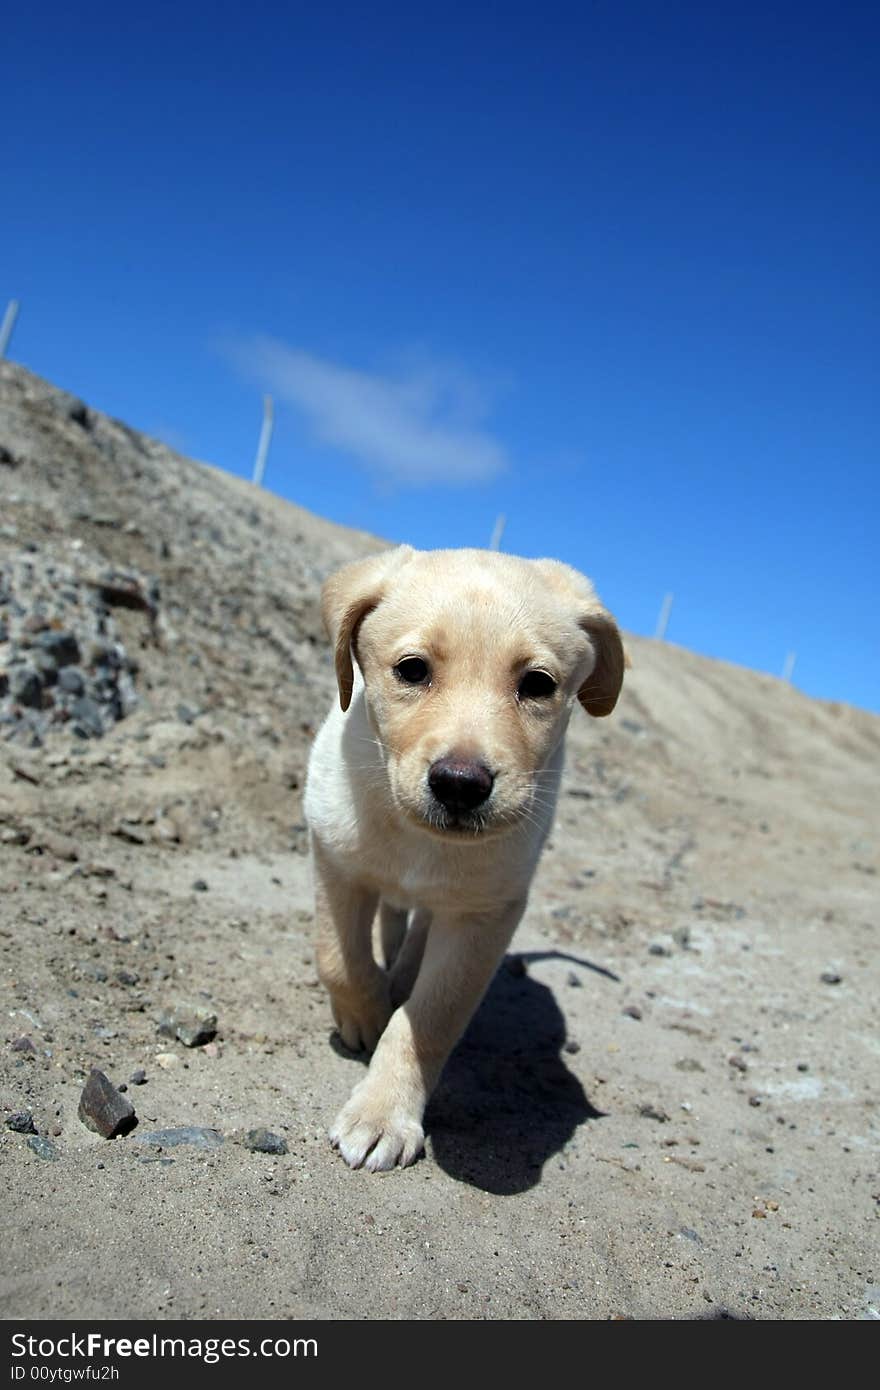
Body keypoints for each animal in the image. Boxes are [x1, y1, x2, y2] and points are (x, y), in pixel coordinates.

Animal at [305, 547, 620, 1167]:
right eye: (412, 670)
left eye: (538, 684)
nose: (459, 785)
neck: (417, 838)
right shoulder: (335, 858)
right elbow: (339, 961)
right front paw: (363, 1015)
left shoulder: (484, 914)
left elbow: (431, 1016)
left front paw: (384, 1111)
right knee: (392, 922)